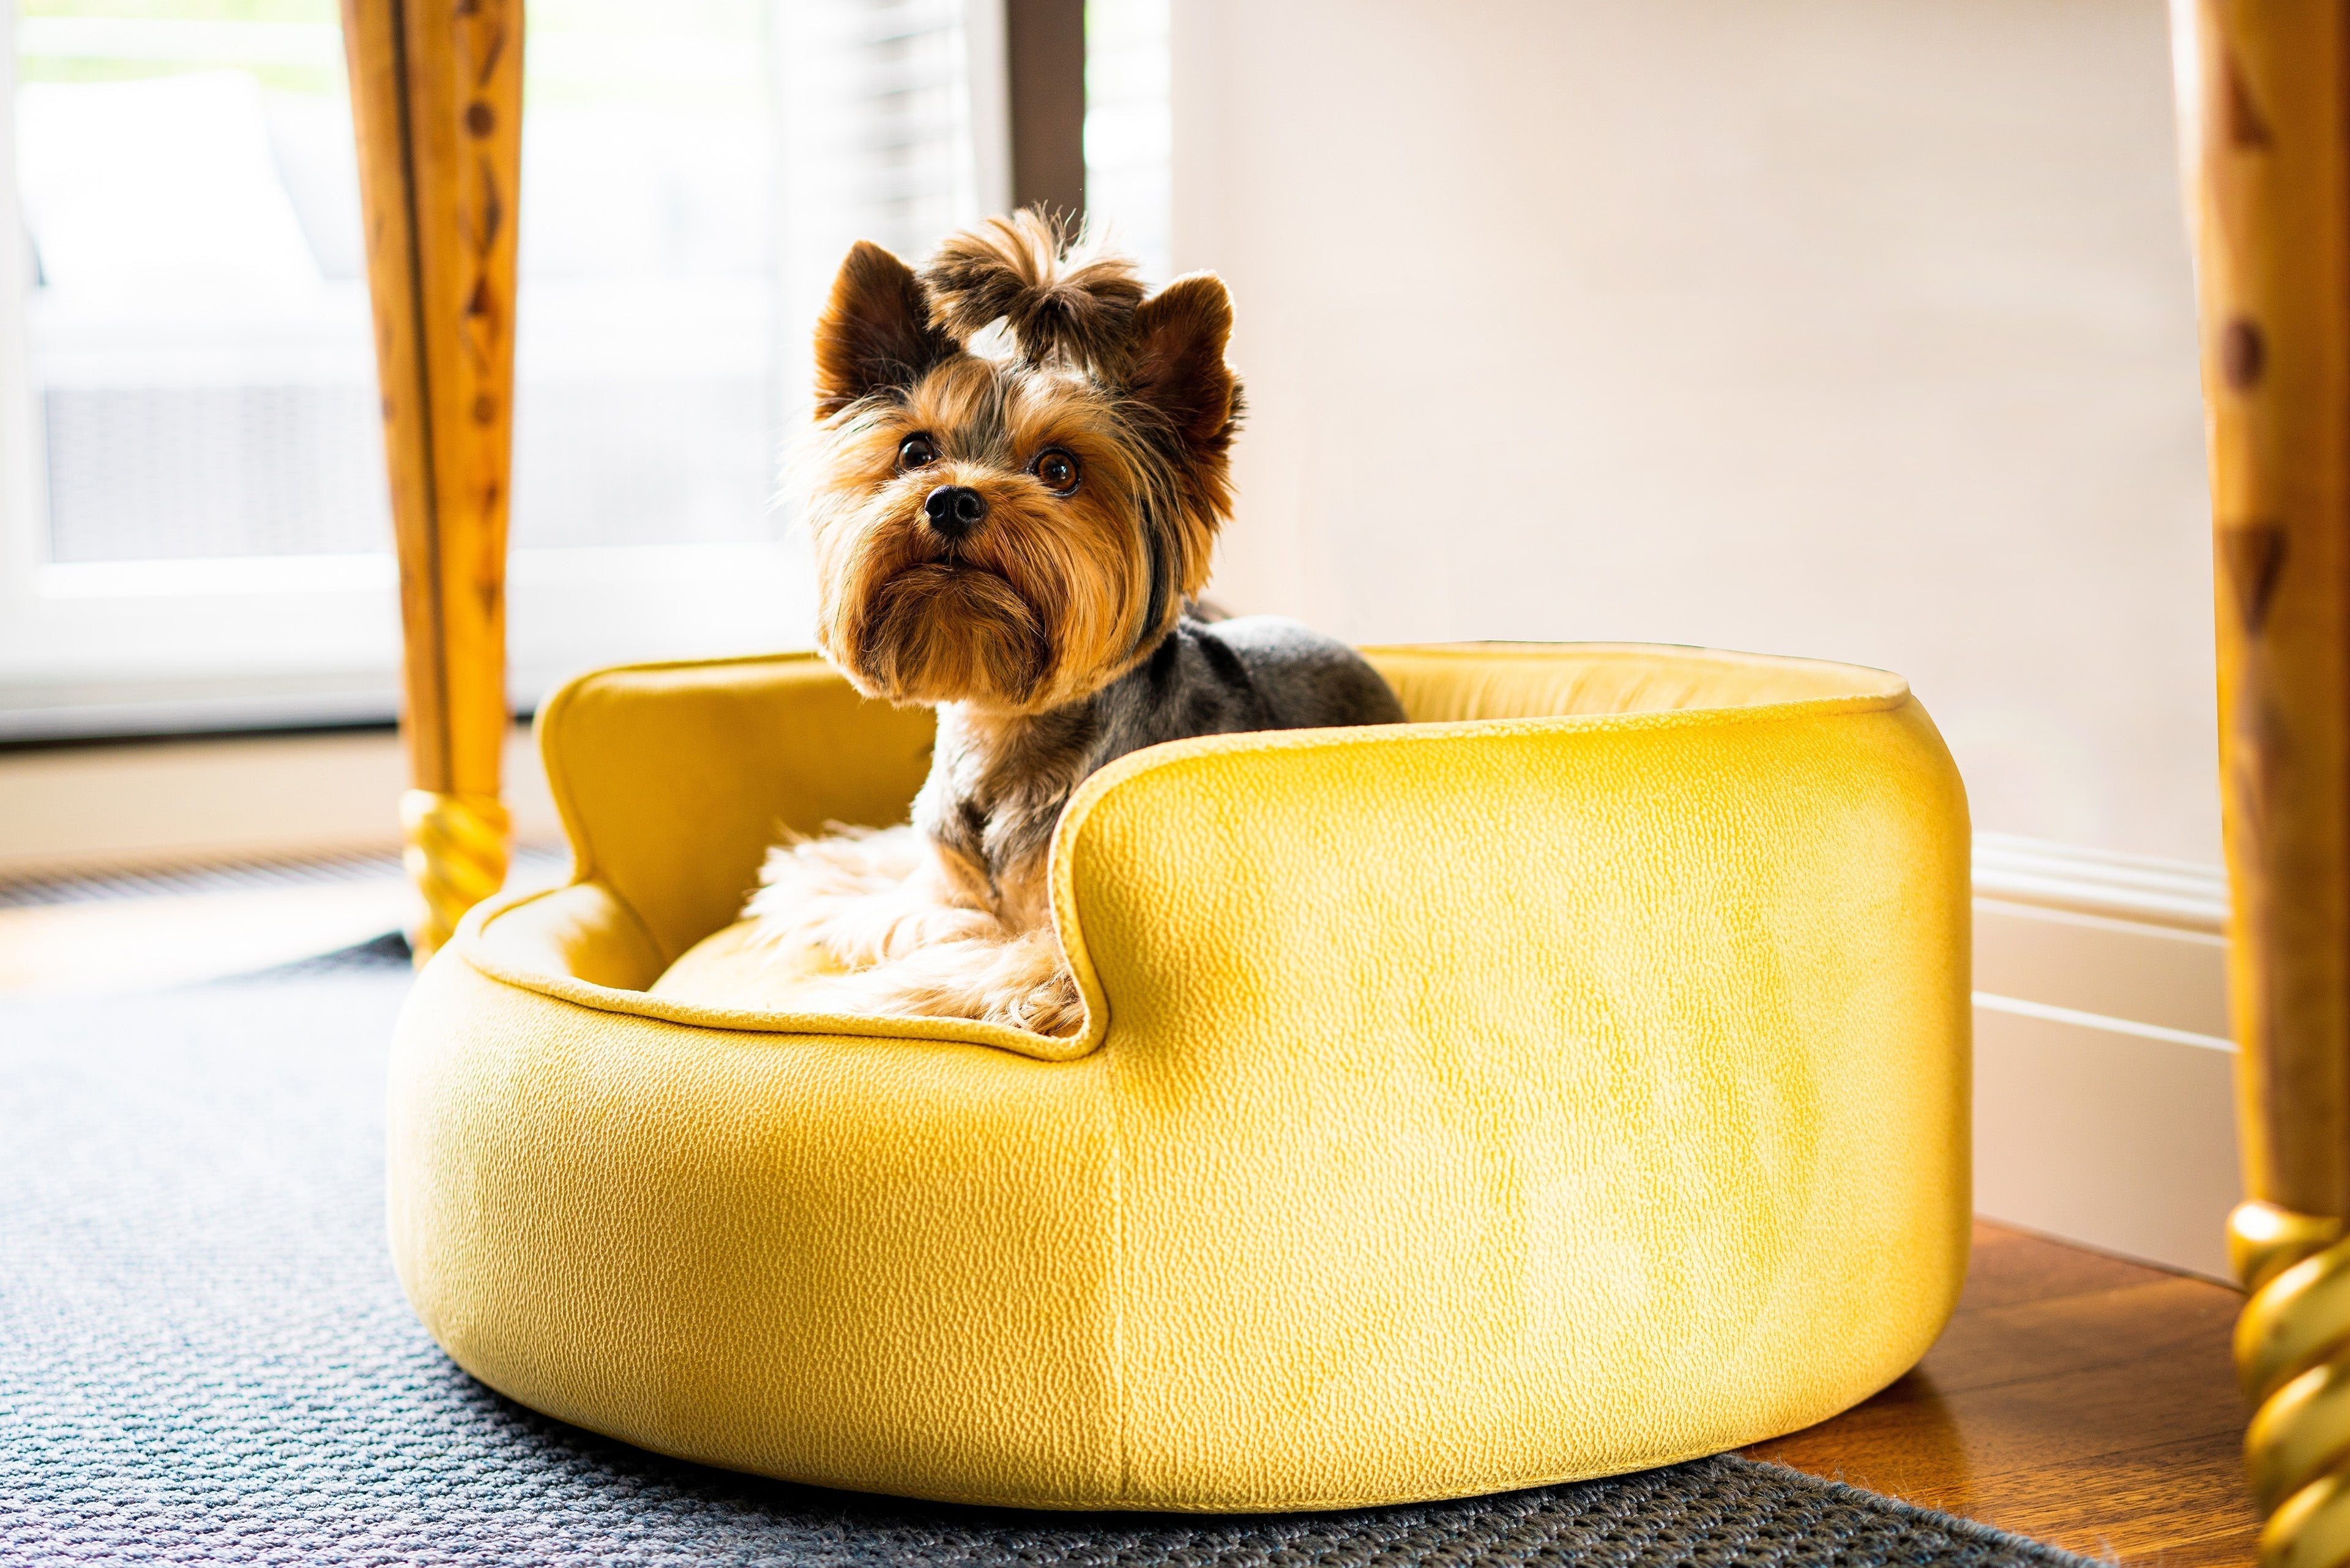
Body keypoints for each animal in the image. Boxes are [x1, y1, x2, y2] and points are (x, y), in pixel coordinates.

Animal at [737, 211, 1391, 1043]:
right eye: (915, 450)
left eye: (1059, 470)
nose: (952, 499)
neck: (1004, 725)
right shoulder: (937, 878)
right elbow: (907, 908)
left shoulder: (1064, 960)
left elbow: (984, 963)